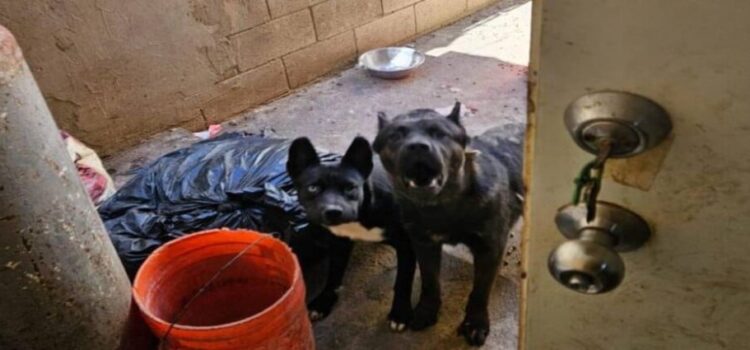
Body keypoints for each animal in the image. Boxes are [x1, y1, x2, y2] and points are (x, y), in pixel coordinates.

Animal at [288, 136, 418, 330]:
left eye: (350, 188)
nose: (333, 211)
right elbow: (334, 275)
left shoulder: (406, 245)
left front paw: (400, 313)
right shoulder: (339, 243)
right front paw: (323, 302)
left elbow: (403, 281)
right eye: (313, 188)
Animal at [374, 102, 524, 346]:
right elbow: (430, 282)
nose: (417, 146)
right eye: (396, 135)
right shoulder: (424, 245)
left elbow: (480, 291)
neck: (444, 205)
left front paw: (475, 322)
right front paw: (427, 310)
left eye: (439, 133)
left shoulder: (489, 250)